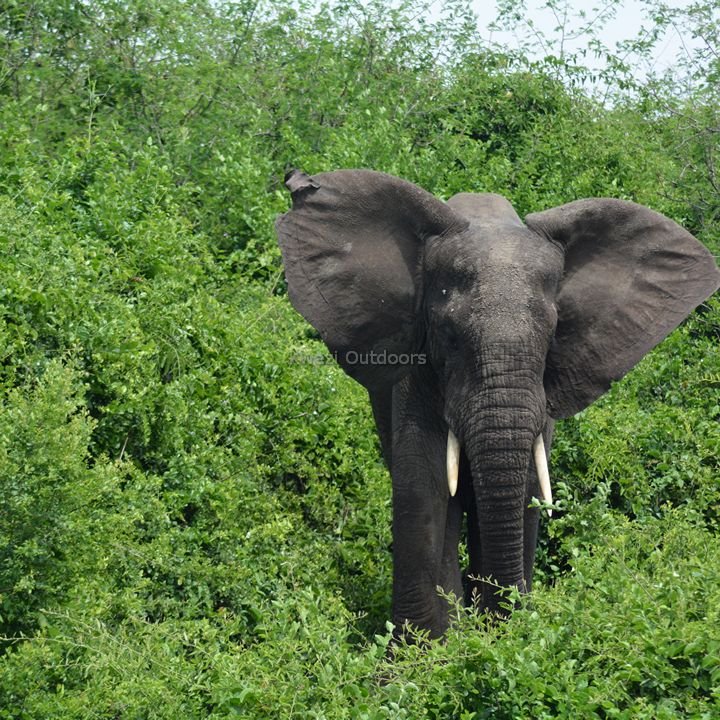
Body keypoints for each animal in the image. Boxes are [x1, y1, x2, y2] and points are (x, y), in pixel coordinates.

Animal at [276, 170, 720, 640]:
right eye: (449, 336)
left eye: (553, 334)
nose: (504, 623)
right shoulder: (417, 374)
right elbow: (423, 484)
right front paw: (425, 651)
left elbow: (526, 486)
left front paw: (503, 638)